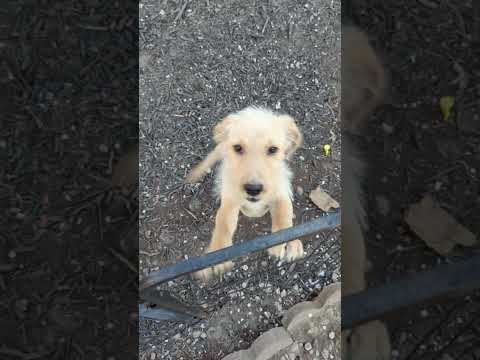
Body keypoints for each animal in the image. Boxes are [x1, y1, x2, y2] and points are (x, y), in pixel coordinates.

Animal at [186, 107, 306, 282]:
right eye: (238, 148)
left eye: (273, 149)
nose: (253, 189)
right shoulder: (230, 200)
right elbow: (223, 225)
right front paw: (217, 253)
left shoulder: (280, 193)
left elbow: (284, 218)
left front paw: (288, 243)